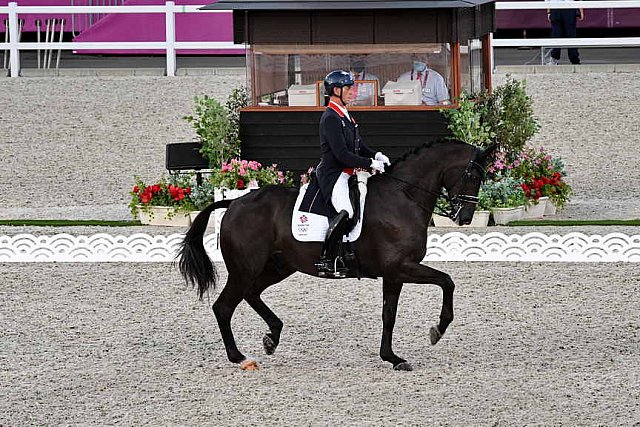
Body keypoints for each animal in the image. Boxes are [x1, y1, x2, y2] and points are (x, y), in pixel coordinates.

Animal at [179, 140, 496, 372]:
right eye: (474, 175)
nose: (465, 217)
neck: (403, 197)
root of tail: (234, 203)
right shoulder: (401, 267)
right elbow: (447, 281)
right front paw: (437, 330)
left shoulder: (393, 274)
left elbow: (389, 314)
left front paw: (392, 357)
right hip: (246, 268)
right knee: (223, 307)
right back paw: (240, 357)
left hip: (278, 266)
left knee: (251, 294)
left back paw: (272, 337)